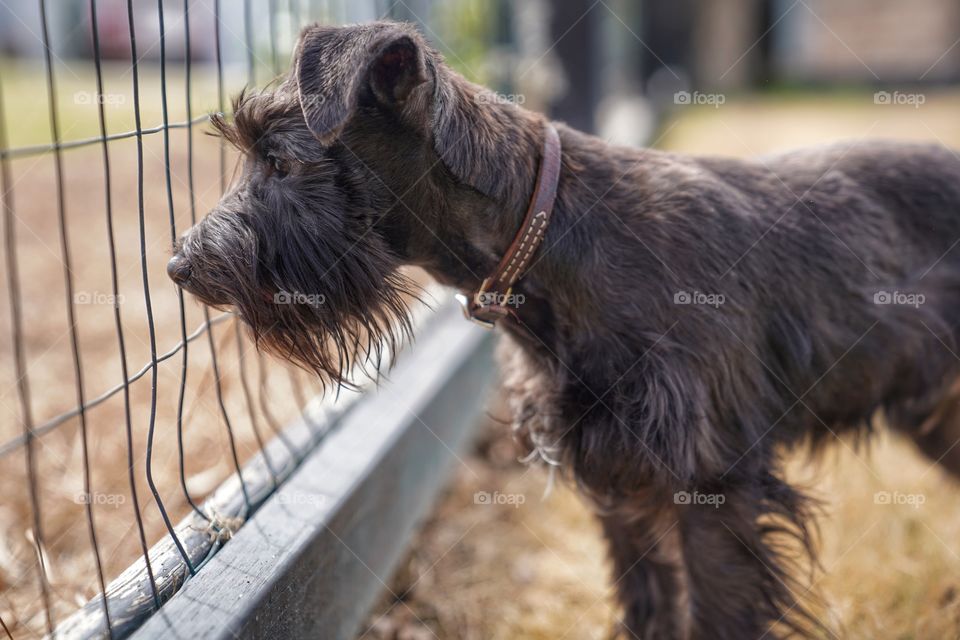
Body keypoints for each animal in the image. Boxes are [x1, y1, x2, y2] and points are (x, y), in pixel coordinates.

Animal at [169, 20, 960, 640]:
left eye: (280, 161)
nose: (182, 265)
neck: (547, 233)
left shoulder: (712, 491)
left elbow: (715, 615)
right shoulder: (623, 493)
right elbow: (652, 610)